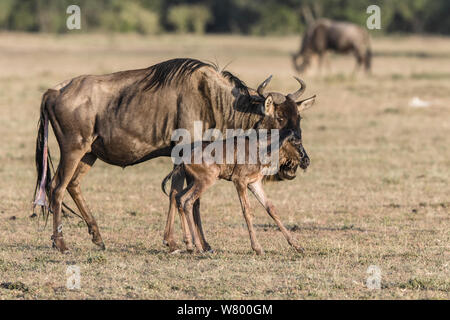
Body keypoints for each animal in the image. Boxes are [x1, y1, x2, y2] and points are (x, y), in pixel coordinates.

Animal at [163, 95, 314, 255]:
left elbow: (271, 208)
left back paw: (189, 244)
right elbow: (247, 211)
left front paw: (297, 245)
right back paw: (198, 246)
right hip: (206, 180)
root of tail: (184, 157)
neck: (261, 147)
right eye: (296, 142)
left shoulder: (254, 183)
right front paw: (257, 248)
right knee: (188, 201)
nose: (306, 160)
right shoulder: (239, 182)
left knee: (179, 197)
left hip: (195, 182)